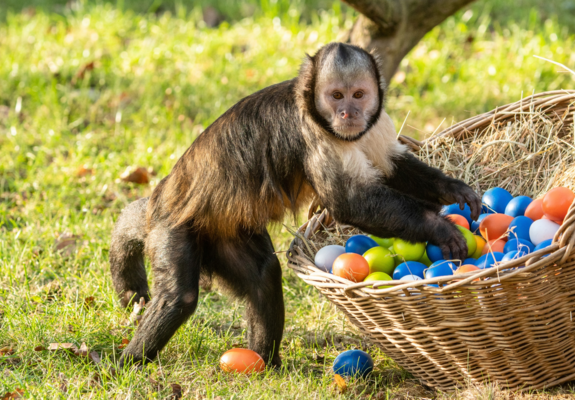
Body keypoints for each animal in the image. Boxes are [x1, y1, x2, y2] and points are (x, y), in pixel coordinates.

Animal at [108, 42, 482, 368]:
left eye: (359, 94)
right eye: (336, 96)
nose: (348, 112)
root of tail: (165, 193)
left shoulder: (373, 124)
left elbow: (392, 168)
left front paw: (455, 190)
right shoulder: (310, 132)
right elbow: (349, 203)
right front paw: (440, 229)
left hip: (219, 232)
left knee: (263, 275)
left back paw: (264, 363)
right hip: (173, 225)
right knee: (179, 295)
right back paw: (127, 363)